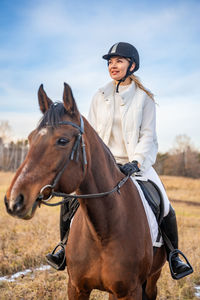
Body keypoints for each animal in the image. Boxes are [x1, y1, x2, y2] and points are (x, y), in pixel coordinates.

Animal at [4, 83, 166, 298]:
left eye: (62, 141)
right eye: (31, 138)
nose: (14, 200)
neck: (103, 232)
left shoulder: (128, 292)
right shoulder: (76, 287)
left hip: (152, 280)